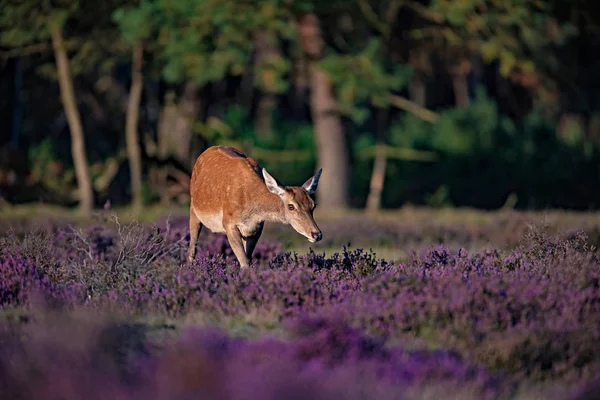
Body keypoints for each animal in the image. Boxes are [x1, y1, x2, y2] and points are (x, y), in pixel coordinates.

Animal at [189, 145, 324, 268]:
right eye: (291, 206)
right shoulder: (228, 222)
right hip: (193, 209)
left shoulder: (257, 227)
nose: (317, 234)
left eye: (313, 205)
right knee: (192, 245)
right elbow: (244, 262)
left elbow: (248, 258)